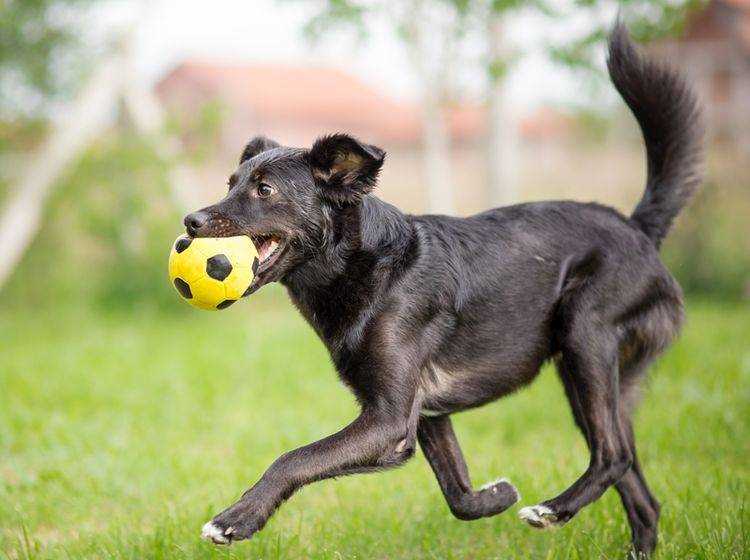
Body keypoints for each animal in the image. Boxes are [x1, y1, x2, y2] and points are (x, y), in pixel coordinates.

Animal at [188, 21, 704, 556]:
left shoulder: (389, 419)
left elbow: (294, 458)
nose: (191, 221)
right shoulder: (425, 415)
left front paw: (235, 519)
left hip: (586, 336)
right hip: (594, 378)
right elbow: (459, 497)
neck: (370, 267)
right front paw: (497, 496)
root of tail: (638, 229)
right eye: (231, 182)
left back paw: (552, 510)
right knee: (640, 491)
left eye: (264, 189)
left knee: (614, 455)